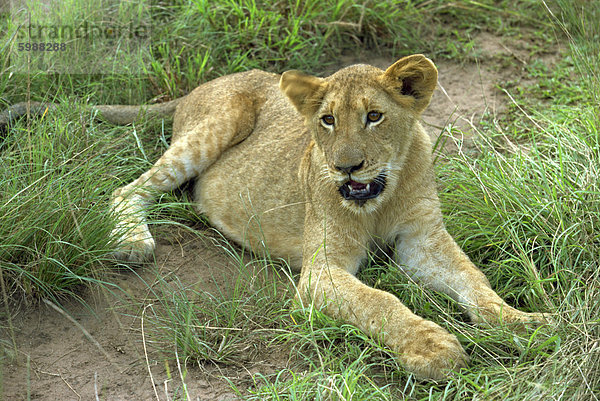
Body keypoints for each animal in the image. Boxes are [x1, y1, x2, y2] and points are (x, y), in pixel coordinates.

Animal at [109, 55, 548, 378]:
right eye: (328, 120)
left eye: (374, 116)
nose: (346, 167)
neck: (381, 199)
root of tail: (206, 82)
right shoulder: (320, 271)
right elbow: (379, 301)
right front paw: (432, 347)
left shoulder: (422, 241)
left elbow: (474, 279)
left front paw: (522, 323)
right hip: (215, 127)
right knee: (129, 189)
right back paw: (132, 241)